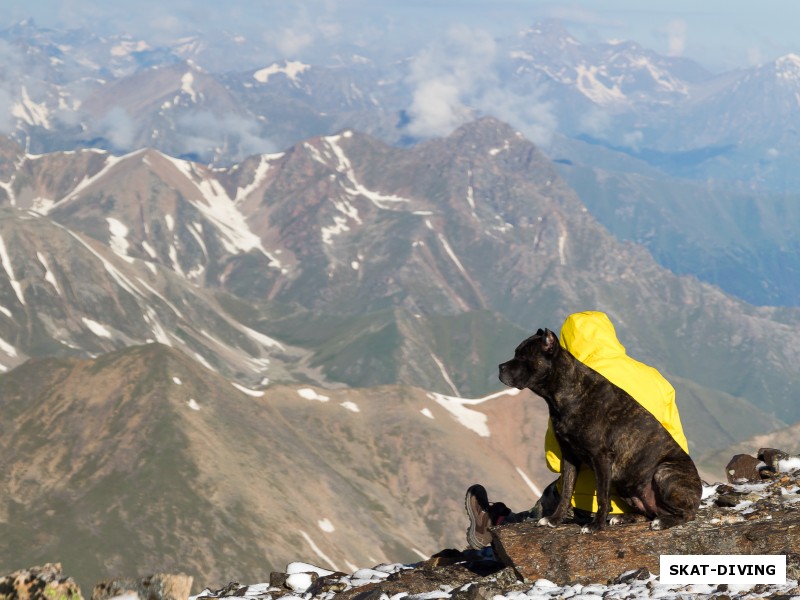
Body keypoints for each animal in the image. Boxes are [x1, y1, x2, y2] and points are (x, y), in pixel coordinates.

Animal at [496, 328, 704, 536]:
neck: (567, 393)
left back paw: (661, 522)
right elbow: (566, 493)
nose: (500, 367)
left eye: (524, 356)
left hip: (663, 472)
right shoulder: (569, 456)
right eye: (516, 353)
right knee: (648, 512)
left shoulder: (601, 458)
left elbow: (602, 497)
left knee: (685, 514)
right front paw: (555, 520)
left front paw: (596, 525)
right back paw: (624, 518)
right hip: (628, 486)